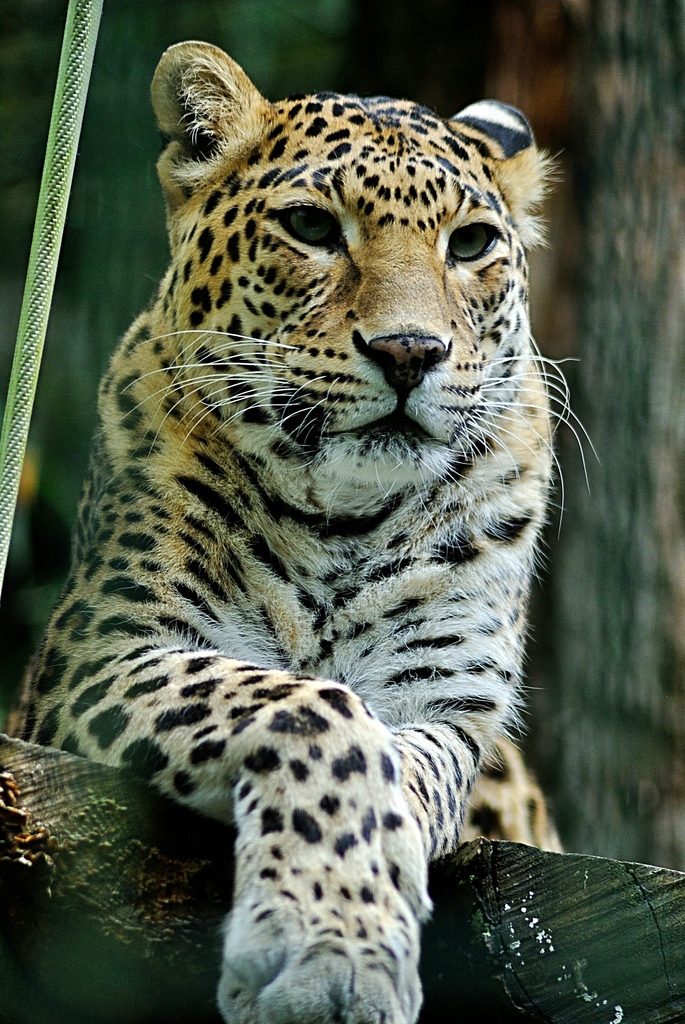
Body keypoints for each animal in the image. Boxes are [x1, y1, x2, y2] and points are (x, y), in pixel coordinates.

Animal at [13, 41, 560, 1024]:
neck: (343, 517)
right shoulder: (102, 652)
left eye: (469, 244)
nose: (410, 352)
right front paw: (330, 948)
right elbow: (316, 710)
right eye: (309, 227)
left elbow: (401, 768)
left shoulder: (447, 708)